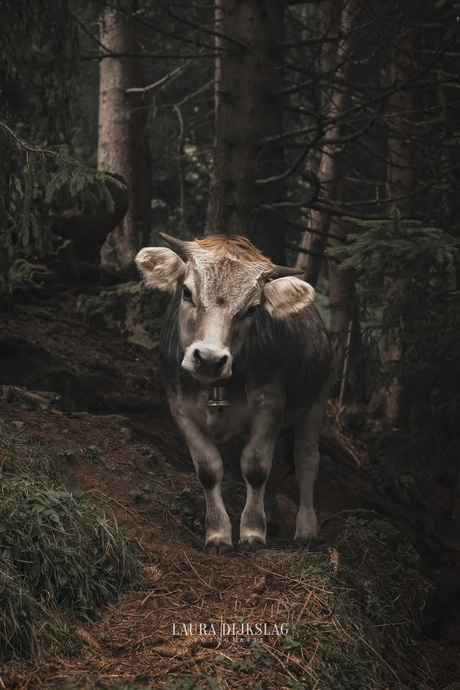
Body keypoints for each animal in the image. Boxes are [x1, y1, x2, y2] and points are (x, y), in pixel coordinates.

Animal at [137, 234, 330, 552]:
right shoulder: (179, 406)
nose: (209, 359)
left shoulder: (270, 402)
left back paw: (306, 530)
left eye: (252, 309)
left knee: (306, 461)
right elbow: (209, 469)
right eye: (186, 293)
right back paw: (272, 519)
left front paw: (252, 532)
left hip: (316, 401)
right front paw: (218, 533)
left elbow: (255, 467)